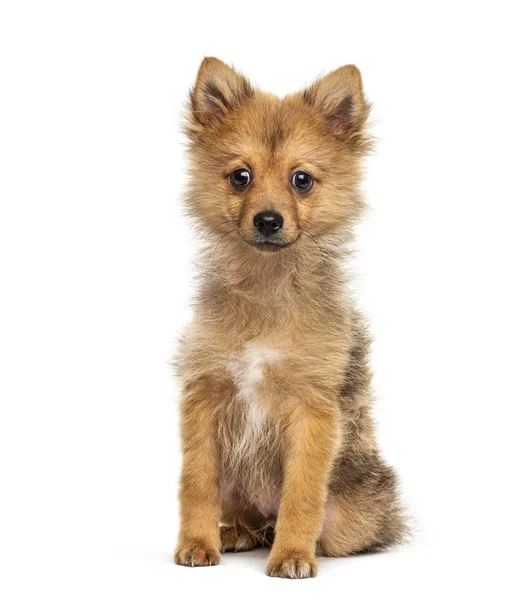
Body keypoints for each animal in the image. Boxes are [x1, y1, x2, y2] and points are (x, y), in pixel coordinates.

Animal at [173, 58, 404, 580]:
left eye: (302, 180)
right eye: (240, 176)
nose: (268, 220)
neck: (268, 284)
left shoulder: (312, 409)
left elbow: (301, 493)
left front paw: (293, 554)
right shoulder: (204, 396)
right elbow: (197, 483)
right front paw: (196, 543)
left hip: (352, 517)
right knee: (249, 516)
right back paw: (238, 533)